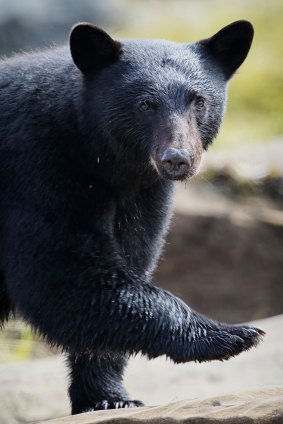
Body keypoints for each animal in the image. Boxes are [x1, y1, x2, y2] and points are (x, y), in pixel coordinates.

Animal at [1, 19, 266, 414]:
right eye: (146, 104)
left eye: (199, 101)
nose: (177, 159)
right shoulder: (36, 168)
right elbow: (61, 273)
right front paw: (232, 334)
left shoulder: (143, 192)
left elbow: (129, 259)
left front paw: (109, 397)